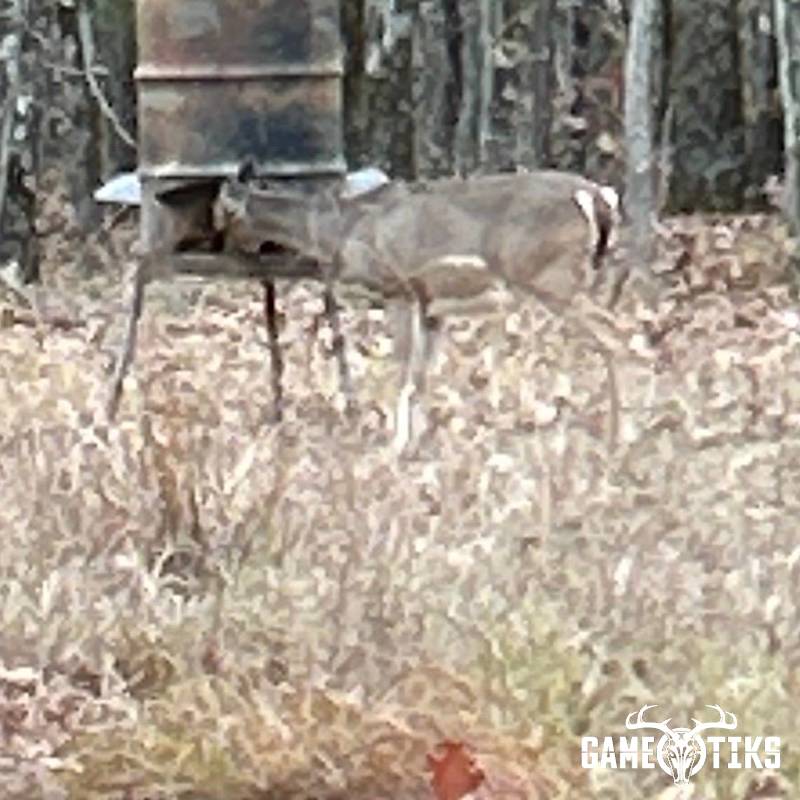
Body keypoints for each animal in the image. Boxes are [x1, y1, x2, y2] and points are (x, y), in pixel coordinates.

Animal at [216, 168, 622, 451]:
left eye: (219, 214)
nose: (225, 252)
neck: (339, 228)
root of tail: (596, 195)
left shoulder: (399, 289)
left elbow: (402, 370)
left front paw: (395, 445)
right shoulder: (432, 305)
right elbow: (423, 376)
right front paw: (420, 442)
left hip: (551, 277)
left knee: (612, 334)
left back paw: (617, 434)